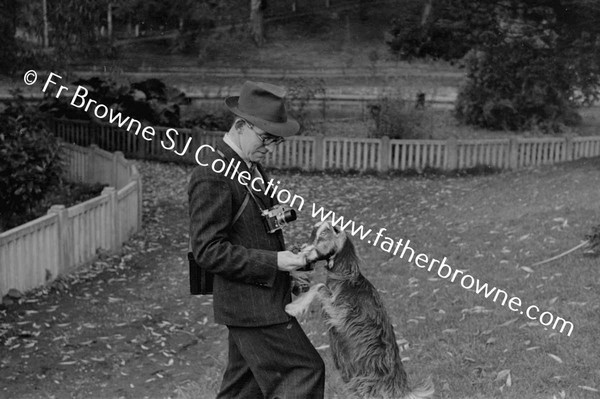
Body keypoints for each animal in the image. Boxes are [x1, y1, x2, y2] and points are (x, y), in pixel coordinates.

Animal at [286, 222, 432, 399]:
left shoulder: (340, 312)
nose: (299, 250)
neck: (346, 278)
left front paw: (292, 308)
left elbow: (319, 286)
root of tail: (400, 389)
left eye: (323, 234)